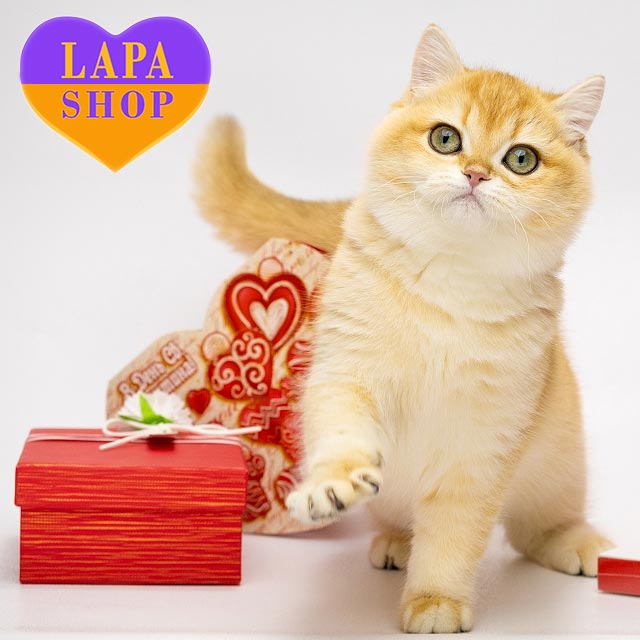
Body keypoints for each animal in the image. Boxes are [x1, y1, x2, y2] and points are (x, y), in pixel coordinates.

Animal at [195, 24, 613, 634]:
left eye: (521, 159)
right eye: (446, 138)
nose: (475, 173)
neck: (449, 282)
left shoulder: (485, 437)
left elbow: (455, 531)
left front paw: (436, 599)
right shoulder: (345, 371)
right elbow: (342, 432)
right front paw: (334, 484)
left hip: (560, 460)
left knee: (535, 526)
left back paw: (575, 543)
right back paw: (395, 541)